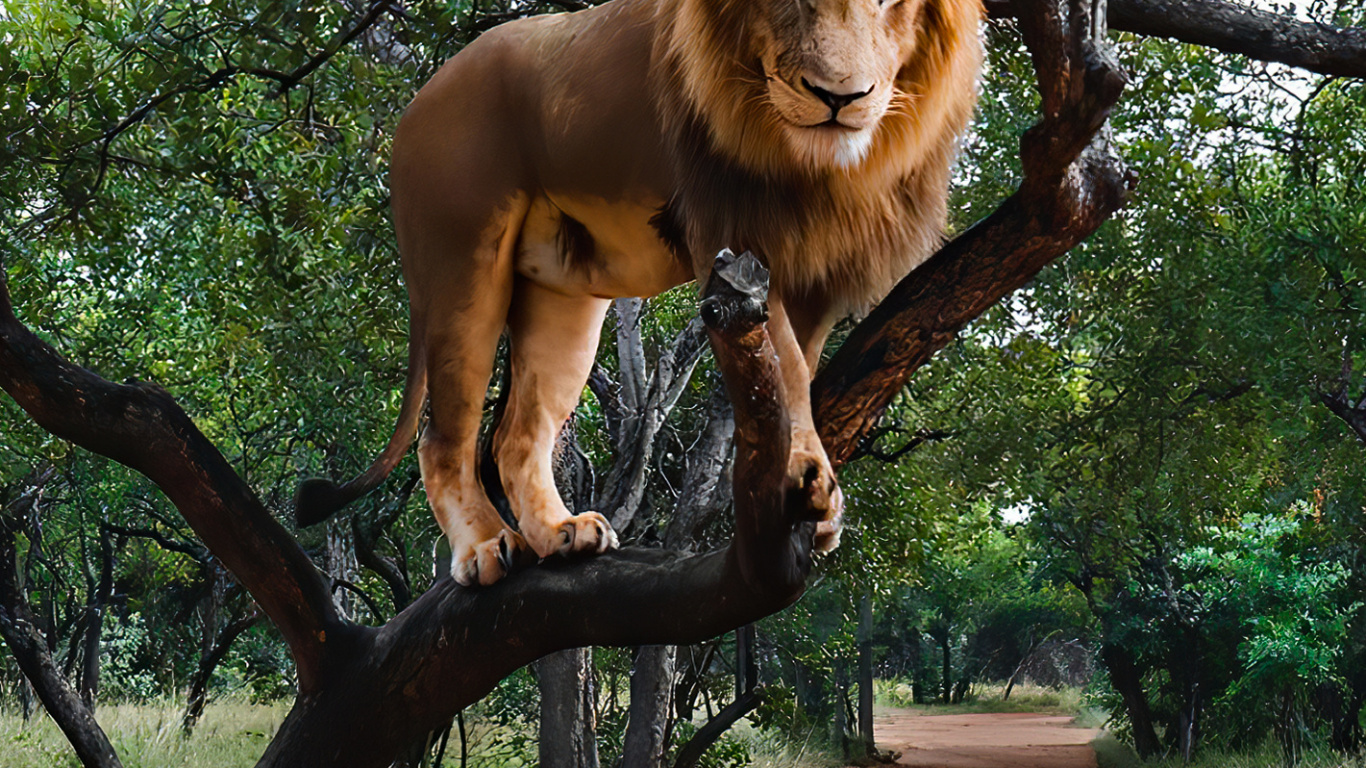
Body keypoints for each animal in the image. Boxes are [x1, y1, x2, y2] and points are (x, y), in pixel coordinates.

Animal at [297, 0, 983, 585]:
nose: (840, 98)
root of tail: (421, 95)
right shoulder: (733, 233)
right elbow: (786, 369)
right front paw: (805, 481)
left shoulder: (812, 271)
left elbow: (798, 375)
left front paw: (817, 501)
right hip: (461, 267)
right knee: (444, 438)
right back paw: (487, 546)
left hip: (563, 303)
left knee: (516, 437)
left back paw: (560, 533)